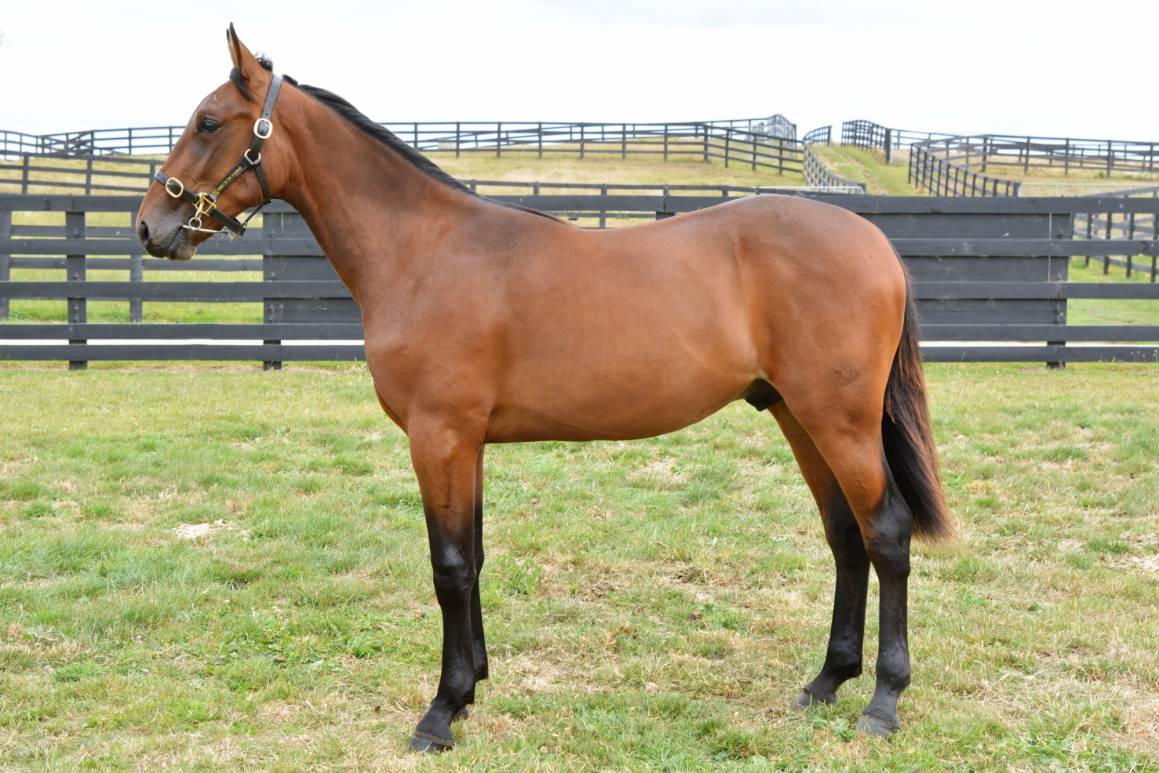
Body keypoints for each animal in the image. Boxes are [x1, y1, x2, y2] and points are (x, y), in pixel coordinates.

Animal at [137, 27, 950, 750]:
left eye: (208, 121)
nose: (151, 225)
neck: (424, 251)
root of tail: (875, 243)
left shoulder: (439, 436)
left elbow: (449, 567)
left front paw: (440, 712)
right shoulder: (467, 443)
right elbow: (474, 557)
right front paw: (472, 685)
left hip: (838, 421)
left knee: (885, 533)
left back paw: (882, 701)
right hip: (798, 416)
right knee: (845, 535)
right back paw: (827, 680)